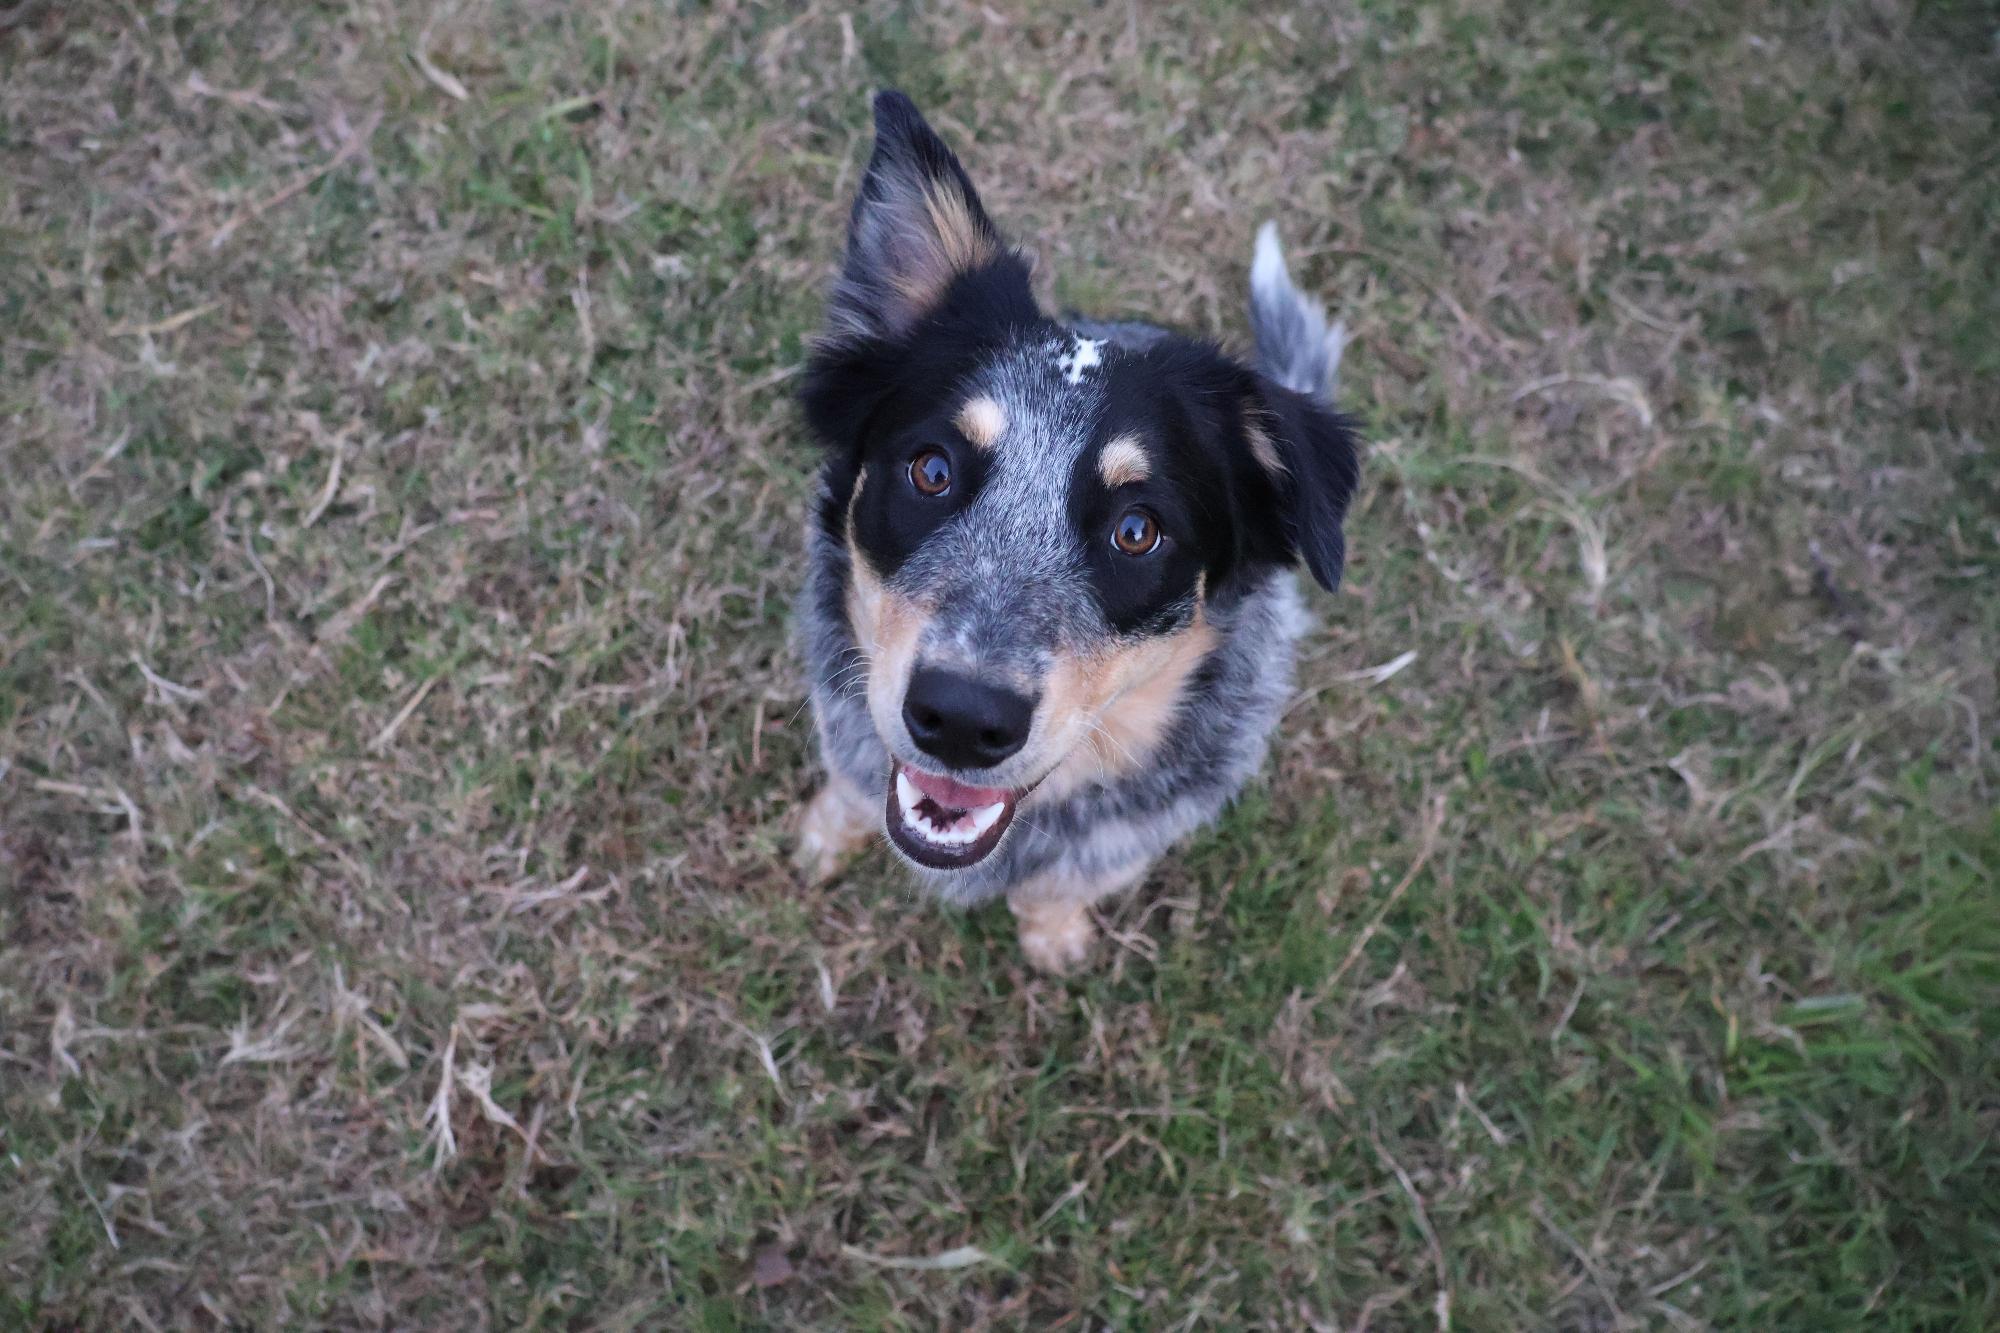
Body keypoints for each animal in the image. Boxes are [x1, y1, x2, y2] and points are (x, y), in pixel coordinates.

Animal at [793, 92, 1359, 973]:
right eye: (932, 469)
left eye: (1137, 529)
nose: (963, 717)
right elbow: (849, 788)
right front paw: (824, 836)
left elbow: (1064, 886)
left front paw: (1054, 936)